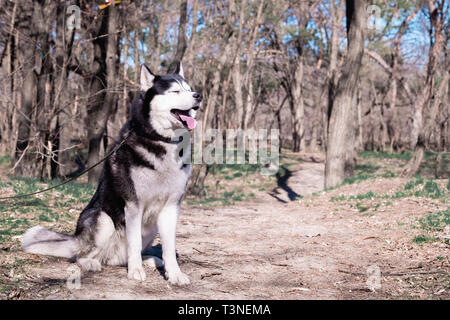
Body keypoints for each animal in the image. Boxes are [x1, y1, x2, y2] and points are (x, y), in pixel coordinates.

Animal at [22, 63, 201, 284]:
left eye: (188, 89)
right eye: (175, 91)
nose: (198, 96)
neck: (162, 141)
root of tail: (76, 239)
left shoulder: (171, 207)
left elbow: (168, 247)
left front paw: (174, 274)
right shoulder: (133, 205)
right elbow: (134, 242)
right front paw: (135, 271)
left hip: (151, 227)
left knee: (122, 257)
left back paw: (149, 259)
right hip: (103, 220)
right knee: (80, 256)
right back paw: (92, 262)